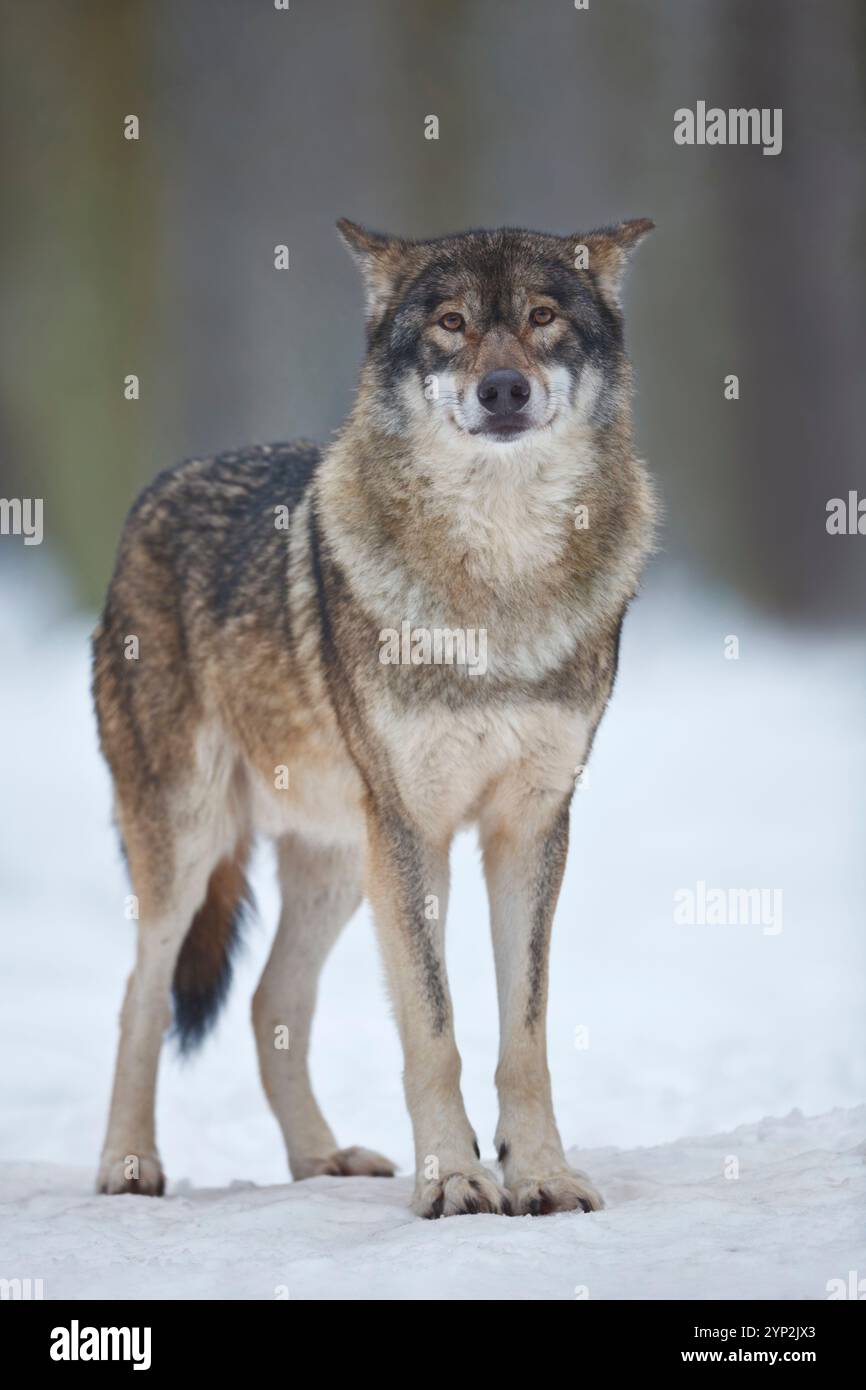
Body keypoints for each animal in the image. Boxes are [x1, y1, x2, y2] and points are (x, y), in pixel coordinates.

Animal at [91, 219, 656, 1217]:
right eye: (451, 323)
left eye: (543, 318)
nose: (502, 389)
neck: (497, 584)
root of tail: (155, 492)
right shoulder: (415, 829)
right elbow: (433, 1030)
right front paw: (457, 1181)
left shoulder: (531, 827)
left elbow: (526, 1038)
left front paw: (541, 1177)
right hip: (194, 842)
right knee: (141, 996)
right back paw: (127, 1165)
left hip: (341, 865)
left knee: (271, 1001)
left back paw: (320, 1159)